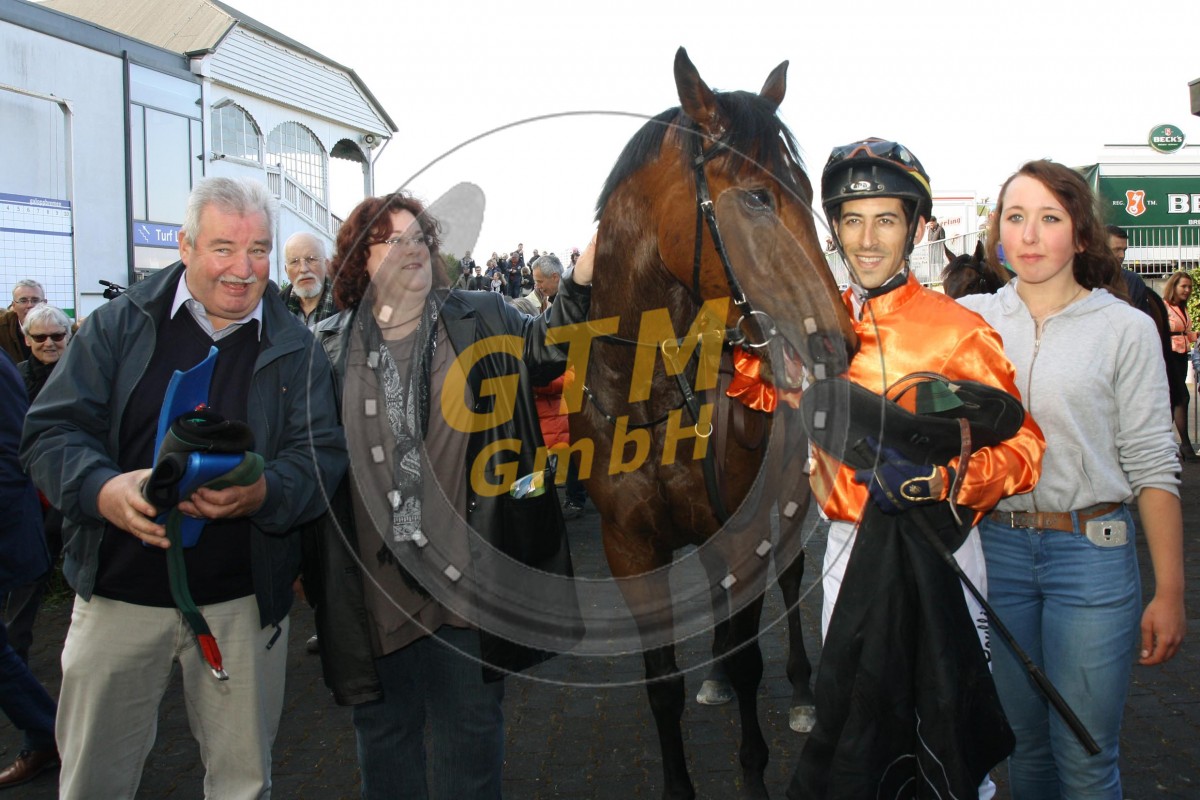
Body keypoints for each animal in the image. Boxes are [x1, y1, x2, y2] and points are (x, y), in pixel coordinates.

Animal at [572, 48, 857, 799]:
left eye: (808, 192)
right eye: (756, 196)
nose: (837, 340)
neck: (652, 405)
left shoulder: (747, 530)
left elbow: (751, 655)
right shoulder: (630, 549)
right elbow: (661, 685)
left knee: (787, 585)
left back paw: (802, 689)